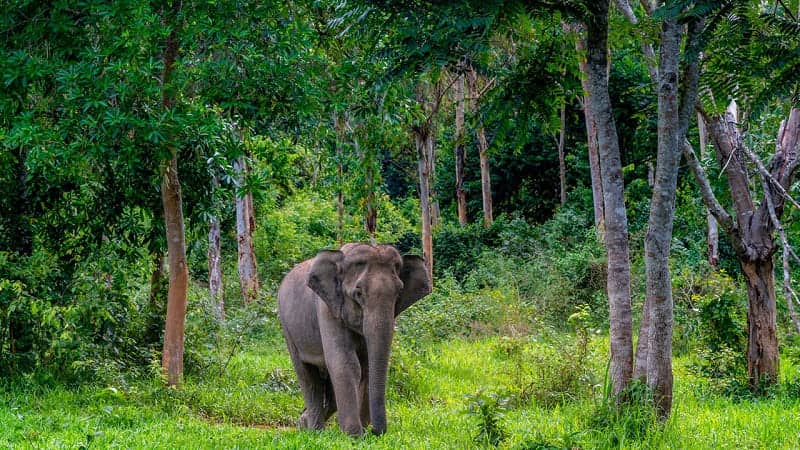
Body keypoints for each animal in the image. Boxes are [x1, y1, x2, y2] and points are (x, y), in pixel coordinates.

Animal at [280, 243, 432, 436]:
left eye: (399, 292)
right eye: (358, 293)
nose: (375, 431)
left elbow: (366, 367)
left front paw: (363, 431)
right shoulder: (327, 309)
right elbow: (346, 363)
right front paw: (354, 435)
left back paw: (303, 422)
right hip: (288, 328)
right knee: (307, 375)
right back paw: (314, 431)